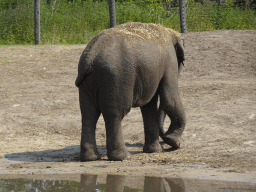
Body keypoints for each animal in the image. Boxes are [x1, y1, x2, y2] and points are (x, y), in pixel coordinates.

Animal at [75, 21, 186, 161]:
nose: (166, 138)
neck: (170, 32)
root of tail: (90, 57)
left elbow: (149, 105)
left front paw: (155, 150)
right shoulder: (169, 61)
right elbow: (169, 99)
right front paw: (174, 142)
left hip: (87, 82)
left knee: (88, 115)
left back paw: (90, 158)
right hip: (116, 79)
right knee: (116, 114)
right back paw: (123, 157)